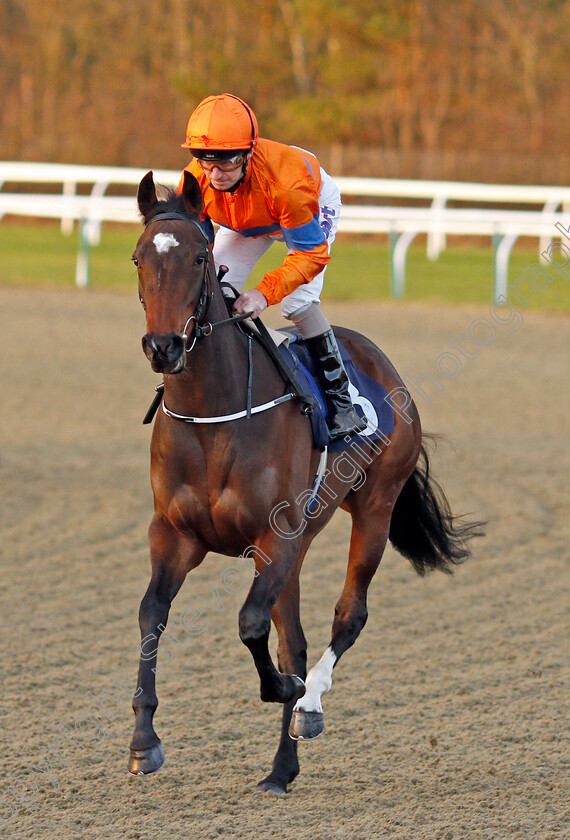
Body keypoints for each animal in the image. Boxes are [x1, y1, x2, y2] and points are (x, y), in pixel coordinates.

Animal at [127, 169, 480, 796]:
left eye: (198, 258)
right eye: (141, 257)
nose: (162, 347)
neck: (214, 415)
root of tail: (383, 363)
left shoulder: (276, 537)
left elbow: (248, 624)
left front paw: (286, 692)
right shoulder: (174, 534)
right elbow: (152, 615)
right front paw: (145, 740)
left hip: (373, 510)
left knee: (347, 616)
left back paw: (308, 704)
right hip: (302, 542)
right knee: (292, 638)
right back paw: (281, 768)